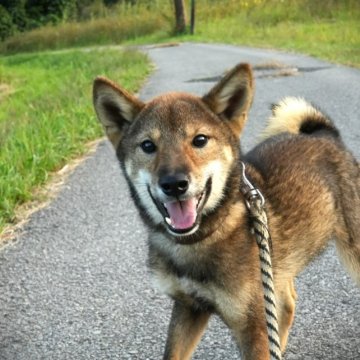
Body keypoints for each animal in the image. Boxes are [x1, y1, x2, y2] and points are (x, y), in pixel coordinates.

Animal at [91, 64, 358, 360]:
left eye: (200, 140)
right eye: (148, 146)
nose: (174, 184)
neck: (201, 239)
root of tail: (324, 134)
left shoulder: (251, 326)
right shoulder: (189, 307)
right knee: (287, 304)